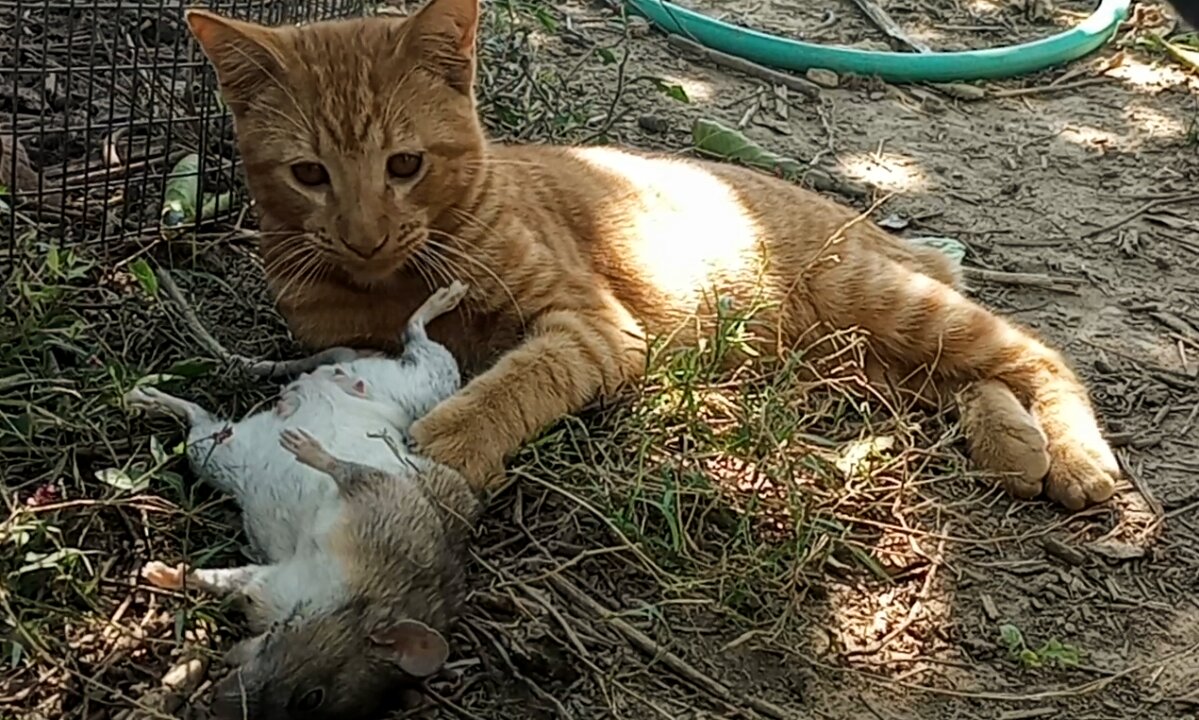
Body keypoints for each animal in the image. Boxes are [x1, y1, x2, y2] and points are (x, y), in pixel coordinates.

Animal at [182, 0, 1117, 510]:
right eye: (309, 175)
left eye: (404, 165)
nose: (366, 233)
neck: (398, 271)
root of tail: (864, 225)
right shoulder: (340, 339)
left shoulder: (592, 325)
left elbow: (518, 378)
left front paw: (445, 442)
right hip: (859, 361)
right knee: (967, 377)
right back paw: (1013, 447)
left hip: (879, 304)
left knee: (1037, 352)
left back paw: (1076, 459)